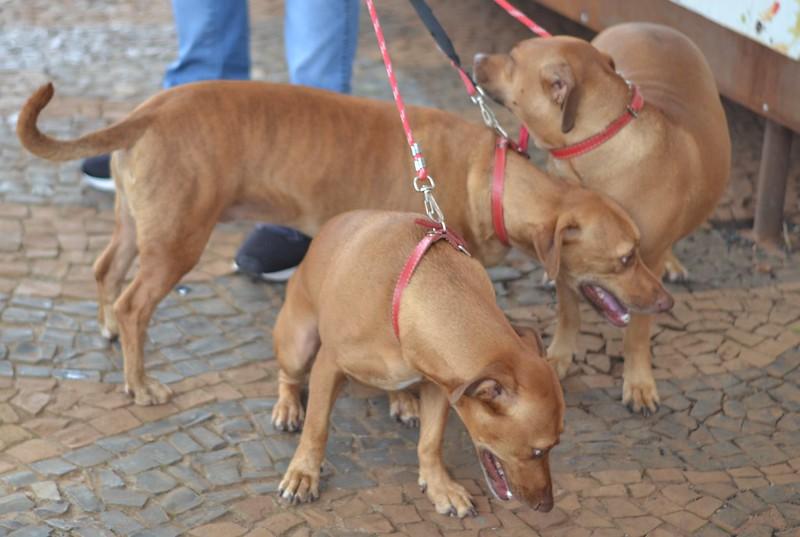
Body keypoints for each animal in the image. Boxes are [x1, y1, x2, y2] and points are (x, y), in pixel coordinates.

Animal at [15, 80, 672, 402]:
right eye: (624, 259)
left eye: (641, 249)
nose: (665, 302)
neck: (486, 178)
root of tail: (149, 109)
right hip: (178, 241)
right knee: (134, 304)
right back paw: (140, 381)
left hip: (138, 226)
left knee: (105, 270)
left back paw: (108, 329)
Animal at [272, 209, 564, 516]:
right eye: (538, 451)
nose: (547, 505)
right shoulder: (328, 366)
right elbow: (316, 429)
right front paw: (303, 473)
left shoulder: (440, 383)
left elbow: (430, 442)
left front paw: (440, 486)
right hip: (298, 346)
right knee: (288, 376)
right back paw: (287, 408)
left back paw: (402, 401)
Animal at [476, 22, 732, 414]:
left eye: (513, 59)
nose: (475, 57)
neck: (596, 143)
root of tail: (651, 25)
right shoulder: (569, 254)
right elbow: (569, 311)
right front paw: (559, 356)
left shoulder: (646, 266)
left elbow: (637, 332)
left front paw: (638, 382)